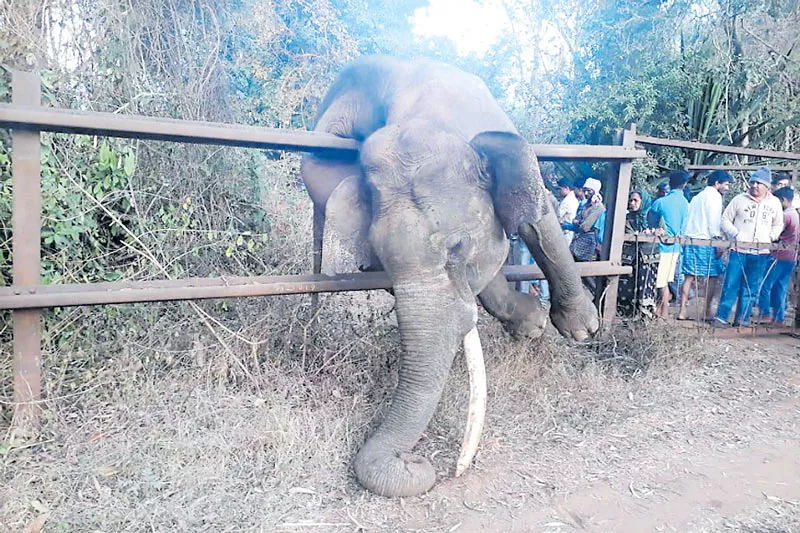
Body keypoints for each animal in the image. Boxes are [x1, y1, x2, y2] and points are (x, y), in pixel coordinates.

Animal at [302, 56, 600, 496]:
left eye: (458, 248)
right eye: (383, 261)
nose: (414, 461)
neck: (428, 119)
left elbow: (538, 220)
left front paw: (579, 329)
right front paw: (532, 323)